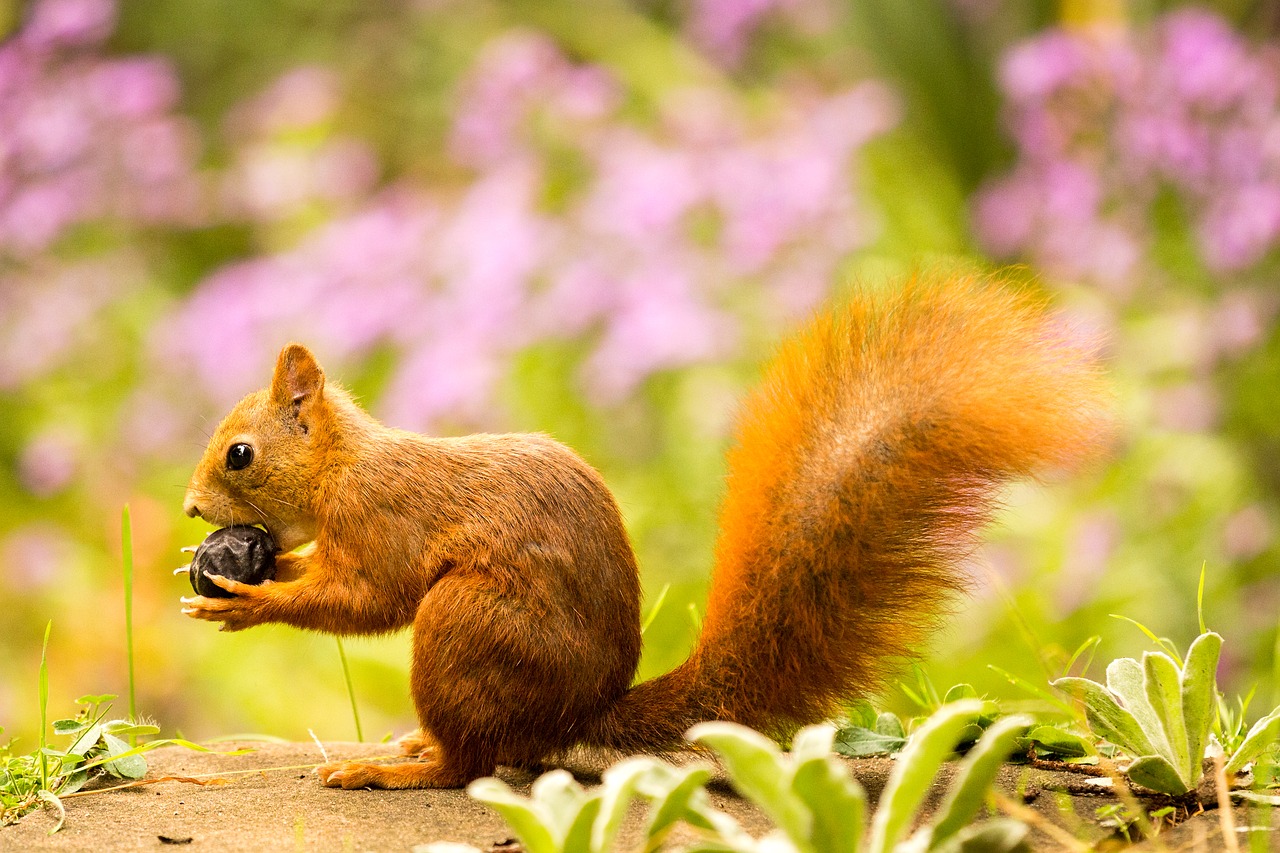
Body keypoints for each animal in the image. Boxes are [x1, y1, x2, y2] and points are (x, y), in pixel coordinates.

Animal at [177, 270, 1111, 783]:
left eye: (240, 454)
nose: (190, 508)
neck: (344, 468)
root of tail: (580, 712)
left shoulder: (382, 525)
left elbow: (362, 599)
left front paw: (245, 600)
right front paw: (242, 565)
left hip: (466, 626)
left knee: (468, 765)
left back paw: (391, 767)